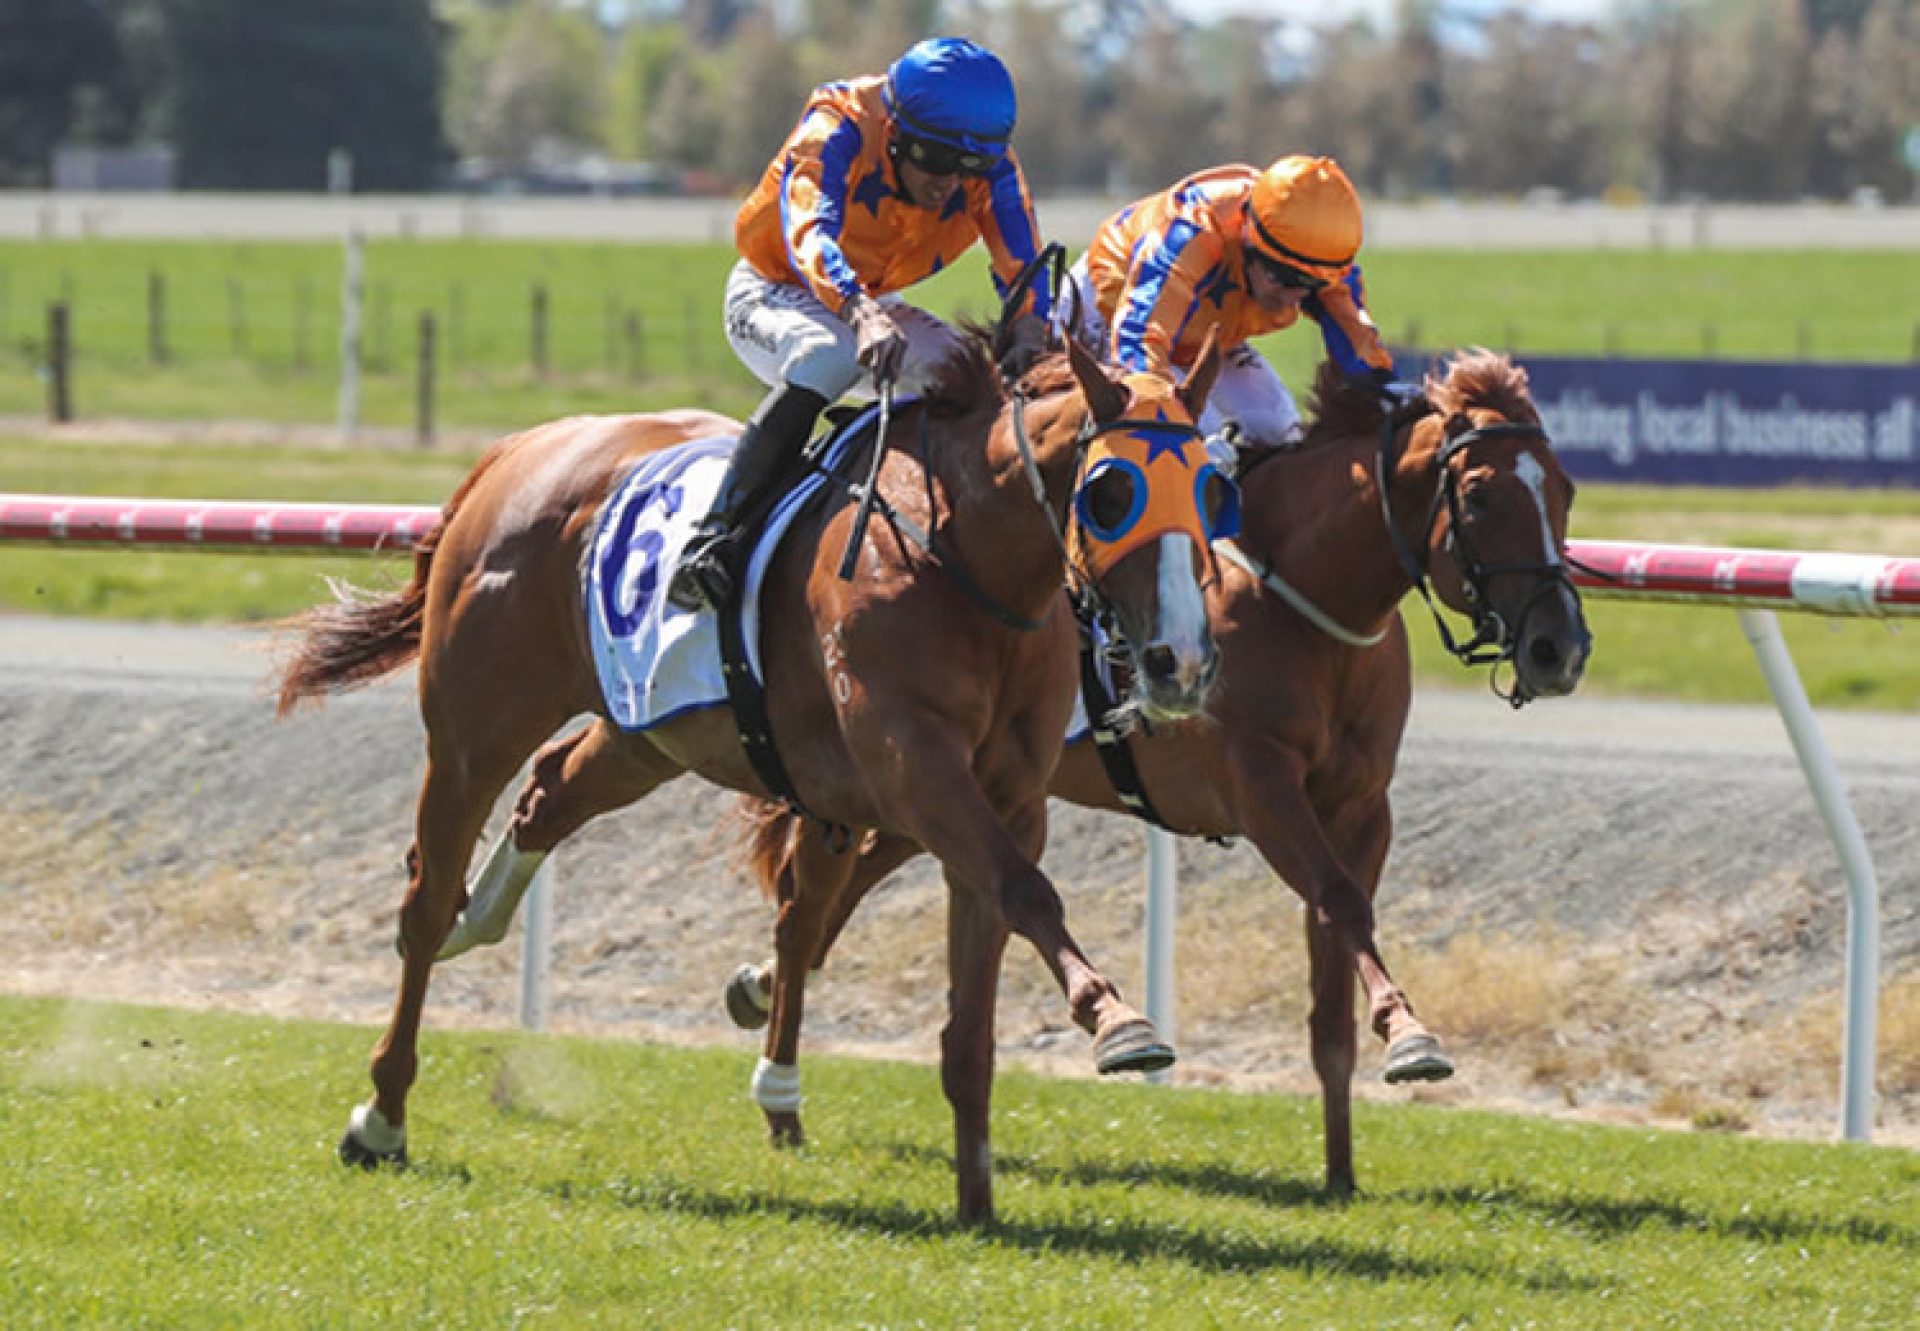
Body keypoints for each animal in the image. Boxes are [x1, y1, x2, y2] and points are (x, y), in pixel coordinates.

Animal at [270, 326, 1228, 1221]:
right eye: (1112, 492)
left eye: (1213, 490)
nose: (1179, 660)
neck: (965, 560)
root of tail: (519, 450)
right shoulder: (916, 766)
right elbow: (1026, 890)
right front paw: (1119, 1022)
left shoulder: (1007, 796)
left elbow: (977, 991)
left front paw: (978, 1198)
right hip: (476, 729)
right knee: (428, 896)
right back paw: (383, 1113)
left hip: (646, 731)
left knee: (549, 794)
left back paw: (485, 921)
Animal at [721, 349, 1589, 1190]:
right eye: (1479, 496)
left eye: (1567, 490)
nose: (1560, 646)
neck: (1303, 598)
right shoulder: (1259, 786)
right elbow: (1341, 903)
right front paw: (1411, 1037)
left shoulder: (1362, 805)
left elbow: (1333, 982)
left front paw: (1342, 1168)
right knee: (808, 899)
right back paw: (778, 1080)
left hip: (944, 784)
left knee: (844, 887)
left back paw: (759, 991)